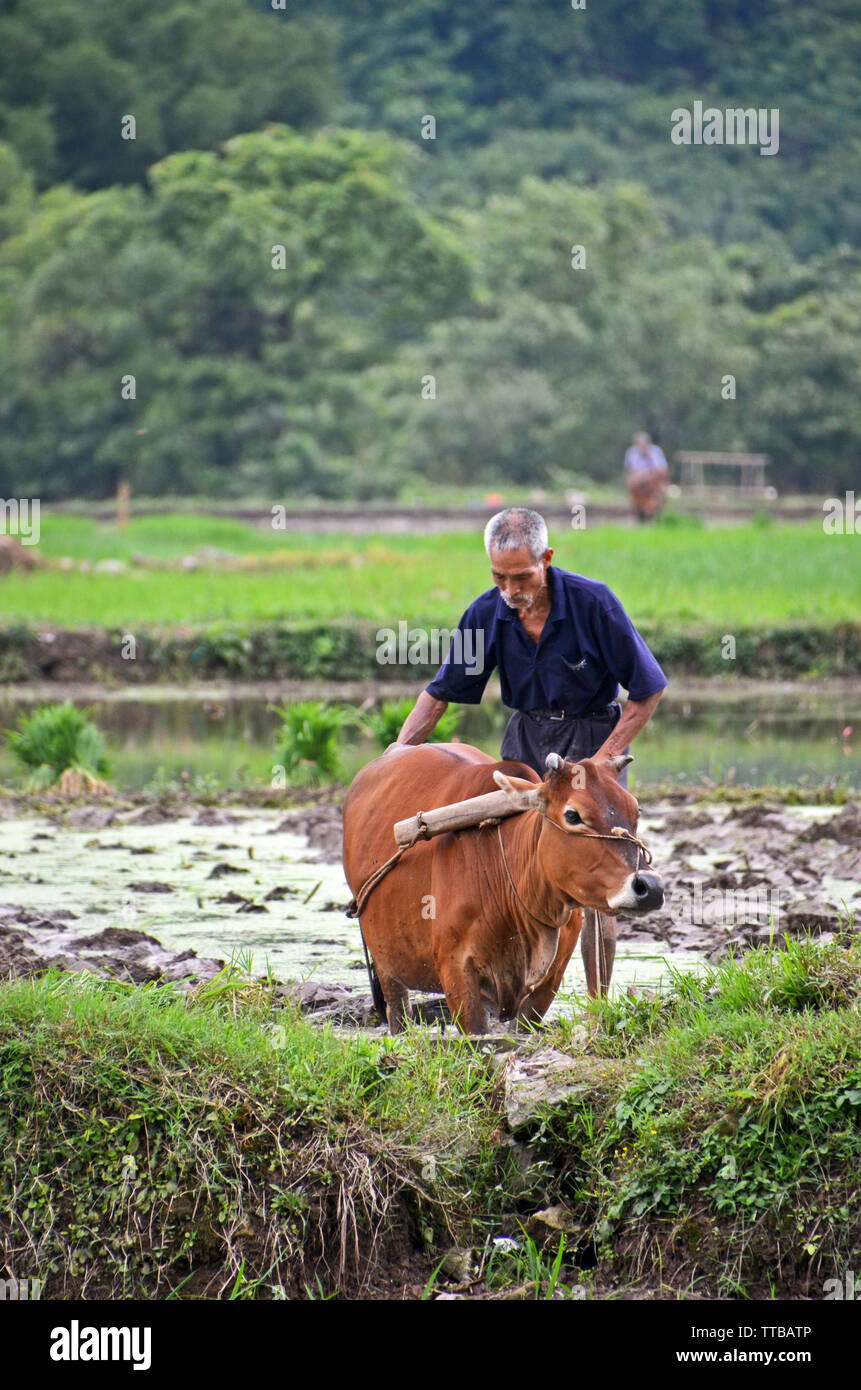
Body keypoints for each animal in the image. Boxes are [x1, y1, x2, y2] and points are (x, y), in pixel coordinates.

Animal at [340, 739, 664, 1034]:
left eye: (635, 812)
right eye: (573, 815)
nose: (650, 887)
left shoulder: (550, 977)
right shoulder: (456, 970)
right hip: (385, 964)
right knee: (397, 1012)